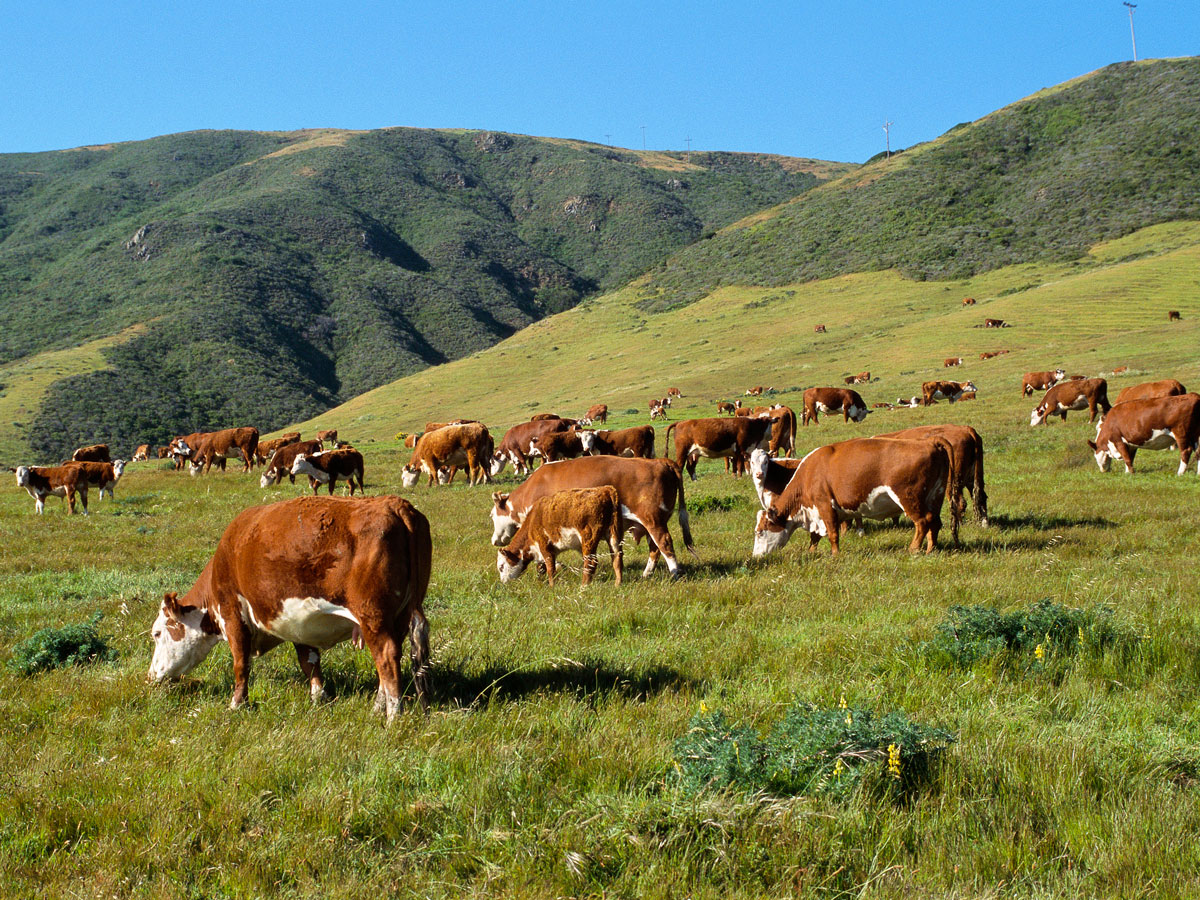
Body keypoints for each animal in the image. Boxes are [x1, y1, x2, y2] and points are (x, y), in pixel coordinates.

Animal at [147, 495, 431, 719]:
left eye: (157, 634)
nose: (150, 676)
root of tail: (395, 503)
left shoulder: (233, 615)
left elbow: (240, 664)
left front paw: (237, 705)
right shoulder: (299, 624)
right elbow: (309, 662)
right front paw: (319, 697)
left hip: (373, 616)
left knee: (386, 658)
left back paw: (392, 717)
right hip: (400, 616)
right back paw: (376, 709)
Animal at [496, 486, 625, 587]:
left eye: (501, 566)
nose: (503, 582)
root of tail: (606, 490)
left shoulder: (544, 544)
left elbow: (550, 567)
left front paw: (552, 586)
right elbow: (542, 567)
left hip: (589, 538)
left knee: (591, 562)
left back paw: (584, 586)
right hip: (614, 534)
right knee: (617, 557)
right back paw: (618, 583)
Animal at [752, 437, 956, 557]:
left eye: (760, 532)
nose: (756, 556)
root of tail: (930, 442)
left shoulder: (824, 505)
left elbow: (832, 534)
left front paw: (835, 555)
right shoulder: (816, 512)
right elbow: (815, 536)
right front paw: (811, 552)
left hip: (909, 497)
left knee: (922, 521)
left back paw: (914, 549)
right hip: (936, 496)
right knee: (934, 522)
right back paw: (931, 549)